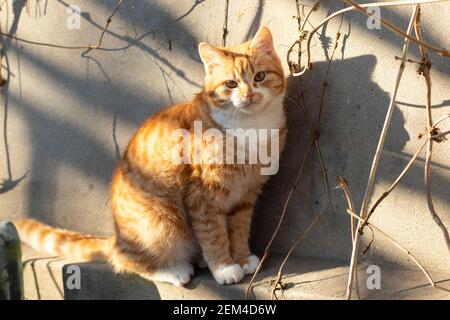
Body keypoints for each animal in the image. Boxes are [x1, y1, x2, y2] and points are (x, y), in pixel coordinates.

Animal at [16, 27, 288, 286]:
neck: (251, 127)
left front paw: (241, 258)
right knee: (127, 261)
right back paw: (175, 270)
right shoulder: (203, 198)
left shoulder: (246, 196)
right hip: (161, 223)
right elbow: (214, 235)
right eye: (231, 84)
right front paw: (224, 267)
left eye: (260, 77)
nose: (249, 95)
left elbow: (239, 230)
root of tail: (117, 237)